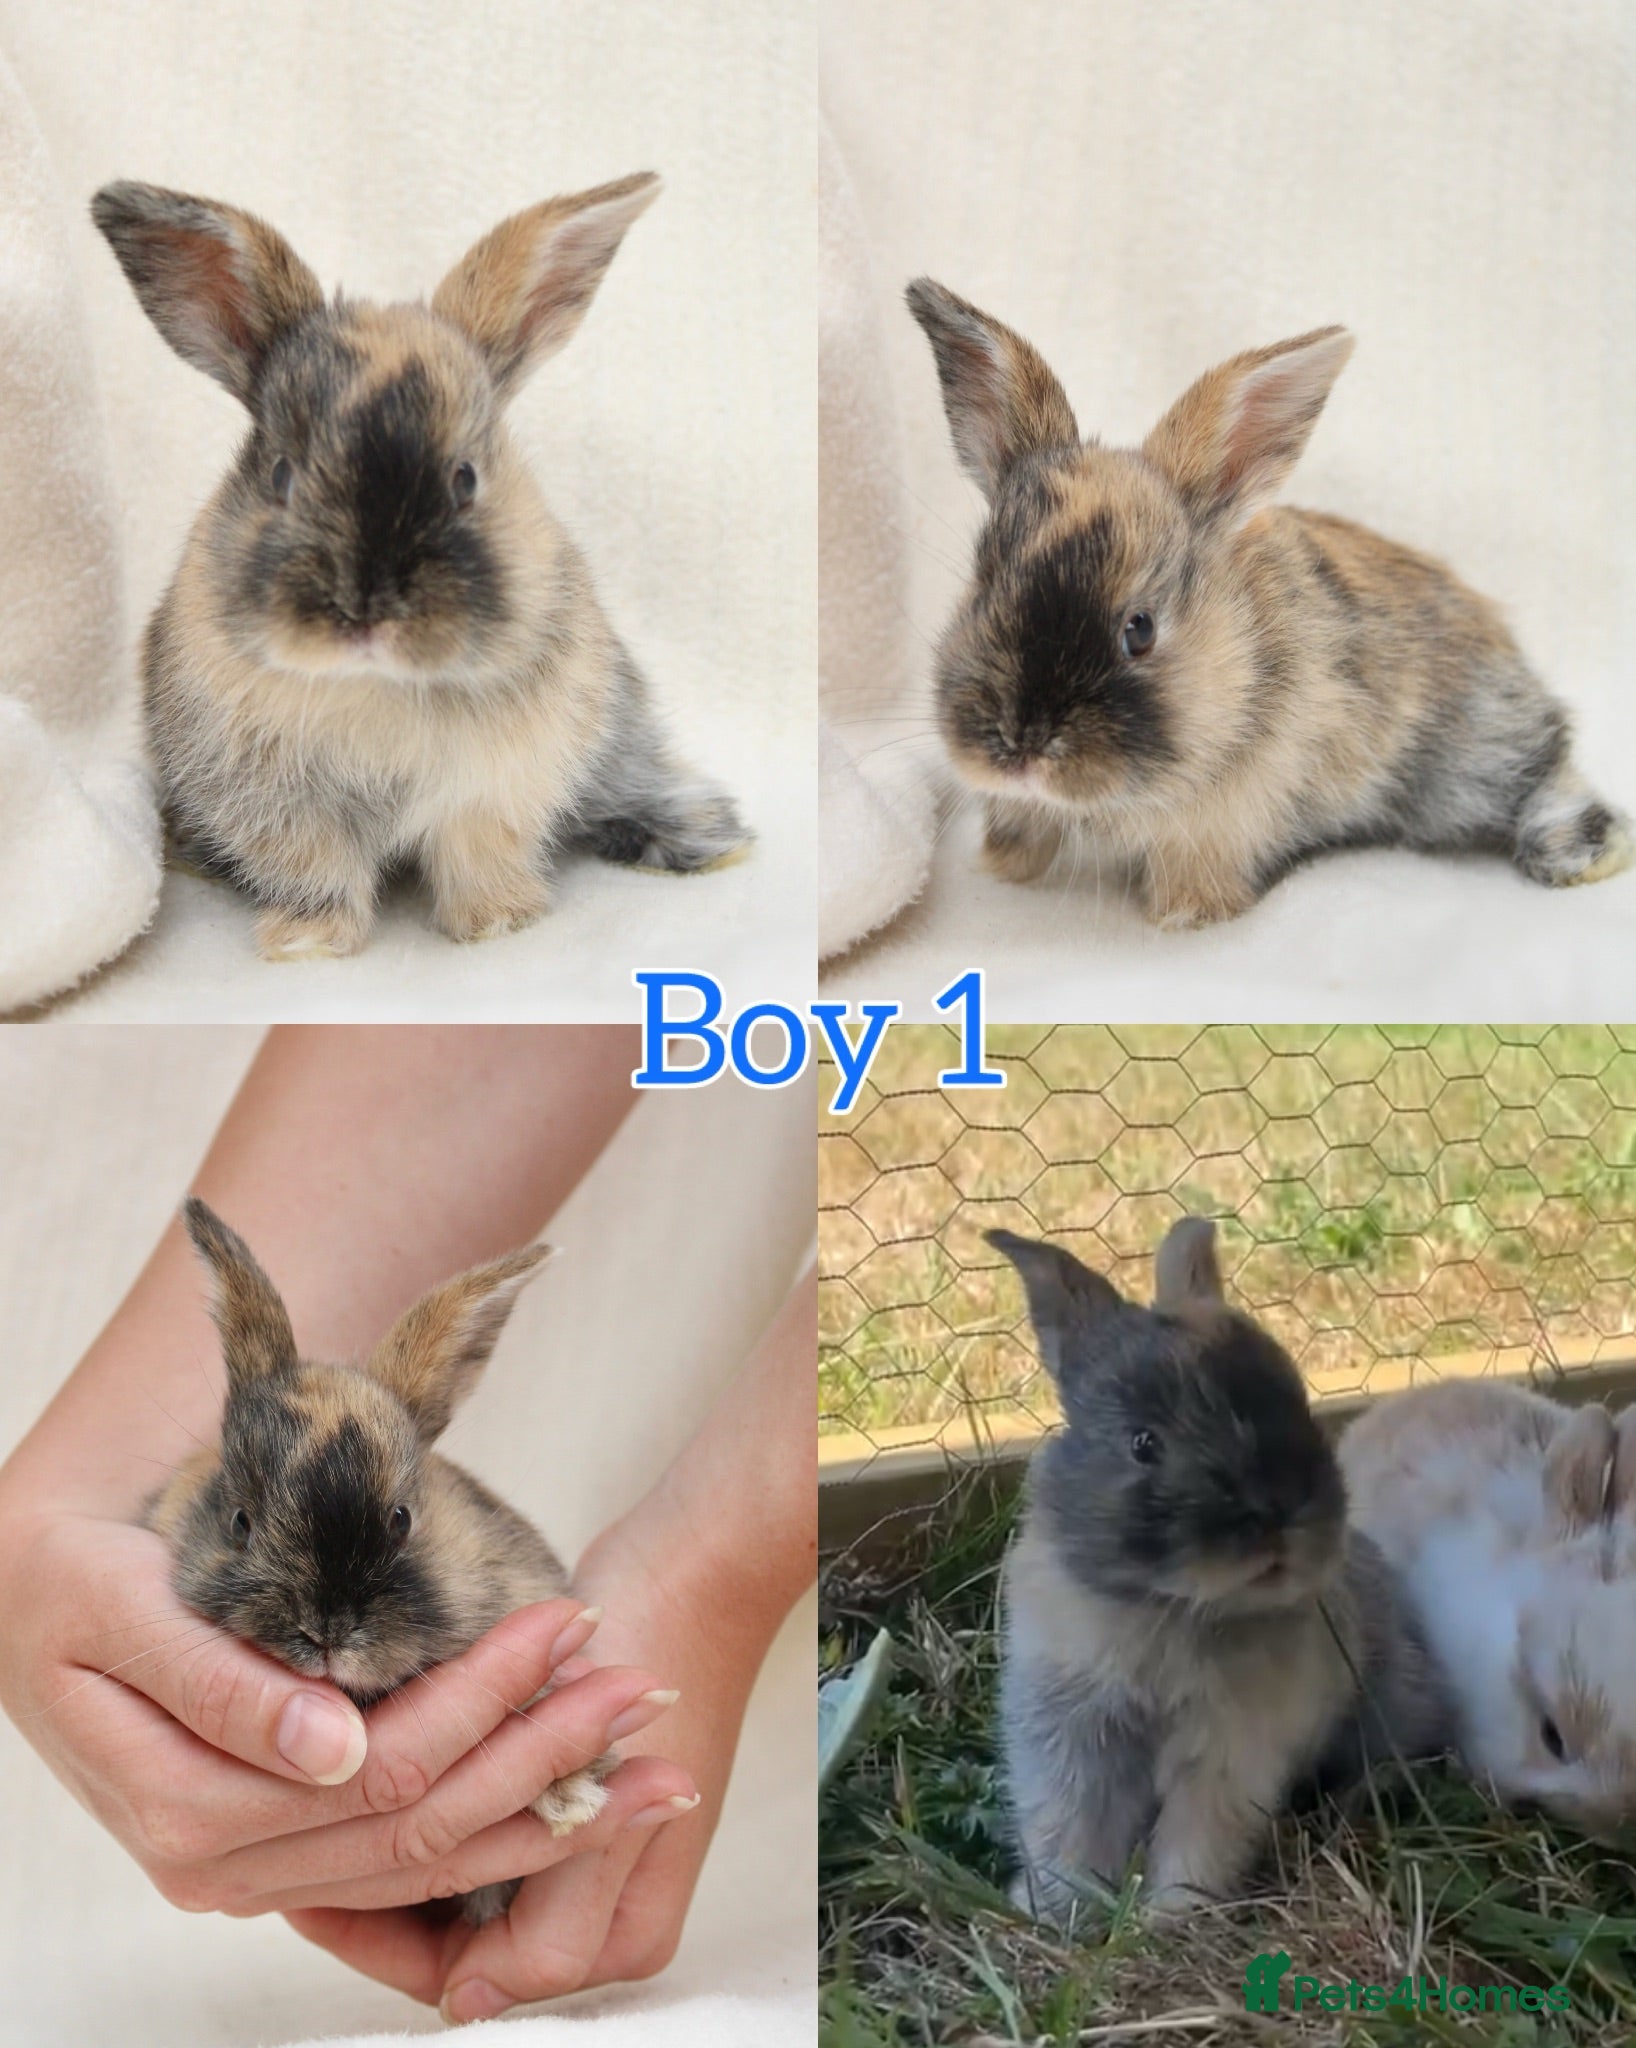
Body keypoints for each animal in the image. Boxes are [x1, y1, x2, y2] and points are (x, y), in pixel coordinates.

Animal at [91, 176, 750, 960]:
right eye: (282, 475)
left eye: (465, 479)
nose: (365, 614)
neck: (379, 683)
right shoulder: (278, 807)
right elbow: (315, 870)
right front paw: (307, 944)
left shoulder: (495, 790)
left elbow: (477, 856)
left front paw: (496, 924)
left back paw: (711, 837)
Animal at [906, 280, 1630, 928]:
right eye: (982, 587)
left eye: (1139, 630)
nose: (1020, 746)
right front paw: (1004, 868)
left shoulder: (1221, 823)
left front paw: (1185, 917)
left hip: (1471, 753)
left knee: (1547, 763)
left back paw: (1582, 854)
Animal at [989, 1217, 1447, 1925]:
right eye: (1143, 1443)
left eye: (1297, 1400)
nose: (1284, 1516)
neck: (1170, 1607)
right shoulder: (1071, 1738)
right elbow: (1070, 1830)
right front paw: (1058, 1911)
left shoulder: (1228, 1758)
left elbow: (1198, 1839)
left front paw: (1169, 1918)